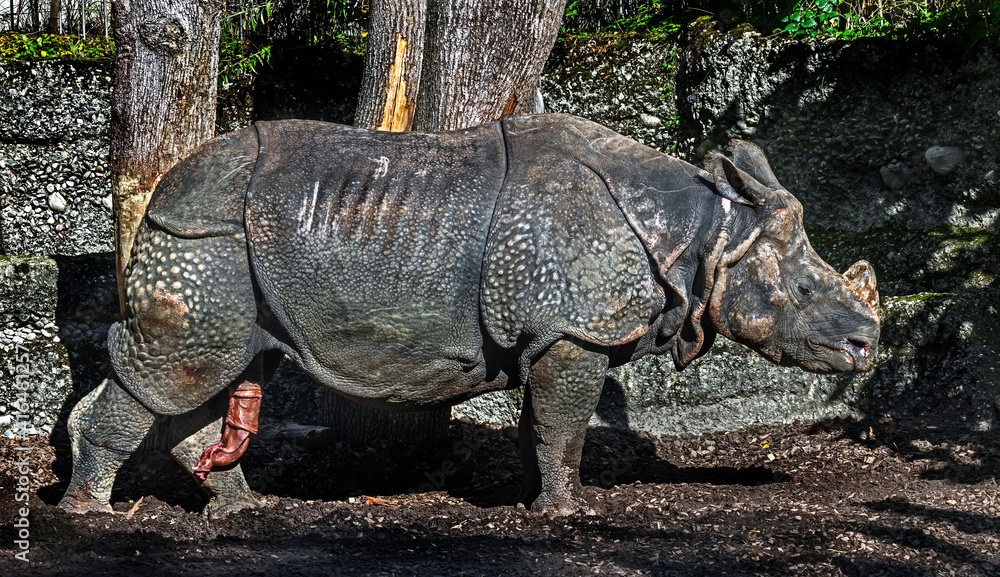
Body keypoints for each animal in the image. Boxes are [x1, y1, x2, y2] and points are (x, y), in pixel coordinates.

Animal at [59, 113, 880, 518]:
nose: (867, 345)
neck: (706, 235)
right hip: (203, 236)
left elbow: (541, 426)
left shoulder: (553, 333)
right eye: (805, 294)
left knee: (214, 369)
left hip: (221, 235)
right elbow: (563, 425)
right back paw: (87, 515)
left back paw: (239, 512)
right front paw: (567, 514)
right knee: (174, 366)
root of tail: (164, 187)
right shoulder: (575, 330)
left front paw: (535, 499)